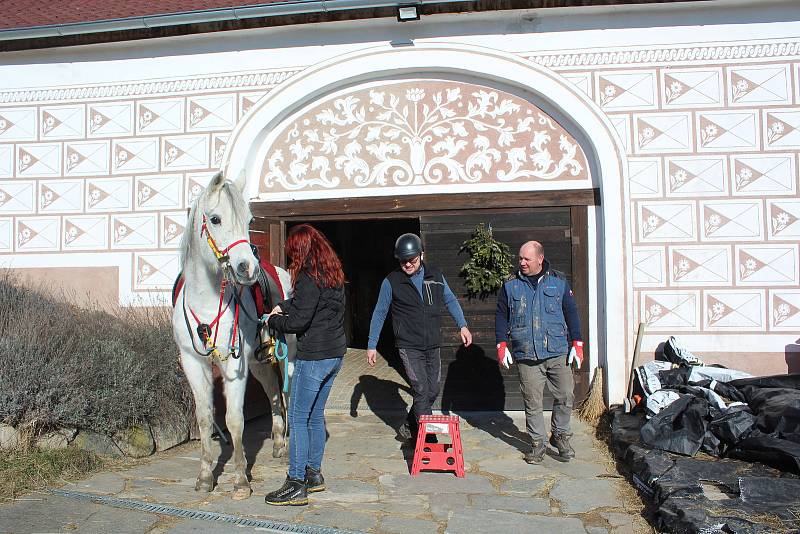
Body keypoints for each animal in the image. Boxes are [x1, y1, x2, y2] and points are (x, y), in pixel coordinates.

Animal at [172, 173, 294, 502]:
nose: (247, 268)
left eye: (249, 220)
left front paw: (240, 480)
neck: (206, 302)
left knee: (290, 394)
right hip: (258, 362)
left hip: (287, 358)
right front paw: (204, 477)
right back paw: (278, 443)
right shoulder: (193, 364)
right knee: (273, 391)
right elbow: (204, 418)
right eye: (215, 219)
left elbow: (235, 420)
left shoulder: (233, 367)